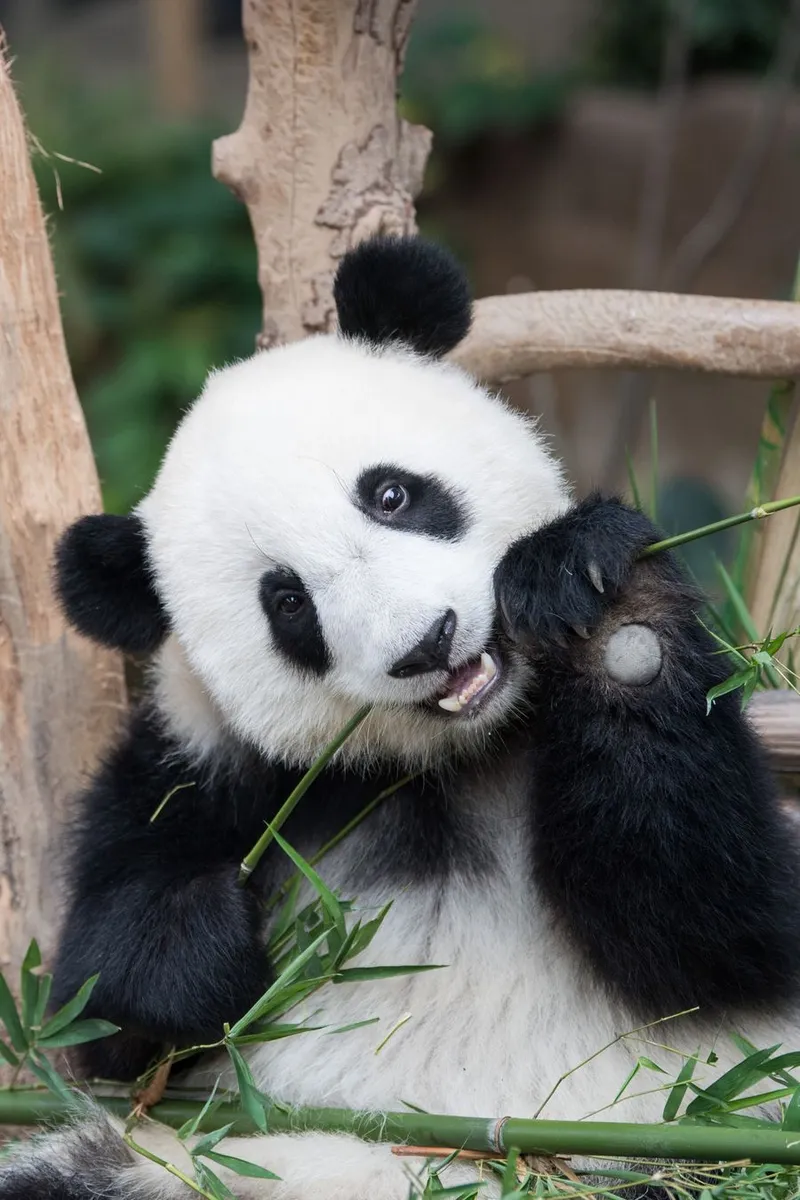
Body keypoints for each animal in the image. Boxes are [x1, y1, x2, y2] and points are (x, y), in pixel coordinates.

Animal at [4, 234, 800, 1200]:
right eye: (288, 604)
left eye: (391, 495)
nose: (429, 642)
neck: (460, 756)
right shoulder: (201, 766)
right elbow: (97, 1012)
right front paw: (200, 933)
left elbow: (716, 929)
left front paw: (598, 598)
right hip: (186, 1169)